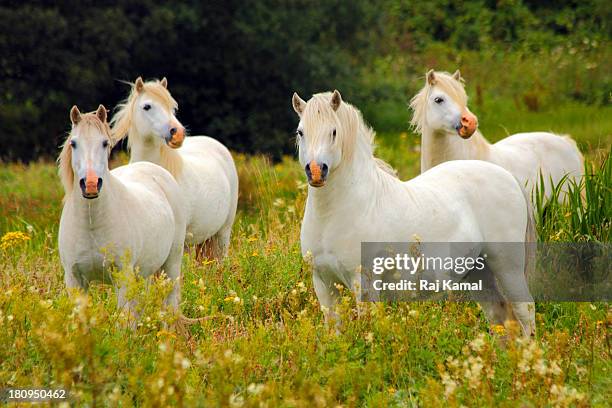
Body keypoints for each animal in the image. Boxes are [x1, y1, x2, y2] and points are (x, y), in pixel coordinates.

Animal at [59, 105, 186, 316]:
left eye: (104, 143)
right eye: (73, 143)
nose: (91, 184)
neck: (91, 223)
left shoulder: (123, 277)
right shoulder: (74, 279)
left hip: (172, 263)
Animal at [292, 91, 536, 336]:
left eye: (333, 132)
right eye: (300, 132)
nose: (316, 171)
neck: (335, 214)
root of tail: (508, 176)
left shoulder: (364, 283)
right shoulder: (323, 284)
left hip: (508, 267)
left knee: (525, 311)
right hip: (479, 273)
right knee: (501, 317)